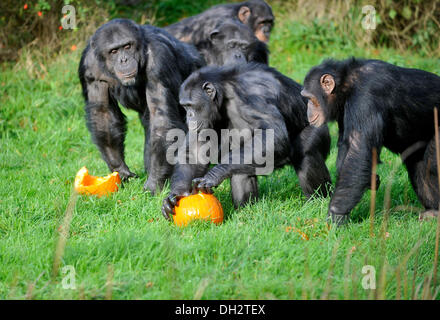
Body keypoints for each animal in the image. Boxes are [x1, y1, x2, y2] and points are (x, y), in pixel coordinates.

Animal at [78, 20, 205, 195]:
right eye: (114, 51)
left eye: (127, 46)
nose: (123, 59)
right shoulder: (89, 69)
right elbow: (103, 114)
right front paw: (119, 169)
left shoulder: (159, 60)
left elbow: (160, 117)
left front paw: (154, 182)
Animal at [162, 62, 330, 219]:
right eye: (184, 106)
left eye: (191, 105)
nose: (188, 115)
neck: (224, 92)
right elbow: (195, 151)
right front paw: (175, 195)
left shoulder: (252, 96)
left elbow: (273, 135)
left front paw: (213, 175)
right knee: (239, 168)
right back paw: (245, 212)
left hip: (317, 126)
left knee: (306, 152)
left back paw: (318, 201)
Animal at [302, 57, 440, 225]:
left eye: (310, 99)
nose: (308, 110)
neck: (347, 84)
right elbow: (347, 144)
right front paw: (372, 179)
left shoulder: (366, 96)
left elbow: (359, 152)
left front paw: (335, 217)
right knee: (420, 169)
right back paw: (433, 211)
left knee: (431, 167)